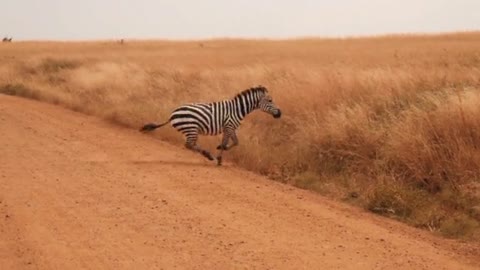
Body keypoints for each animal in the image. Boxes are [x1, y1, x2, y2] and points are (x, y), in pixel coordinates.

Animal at [140, 85, 282, 166]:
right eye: (270, 100)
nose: (280, 113)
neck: (237, 109)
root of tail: (171, 115)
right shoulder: (229, 126)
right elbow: (228, 143)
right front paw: (219, 158)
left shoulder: (230, 128)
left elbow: (235, 142)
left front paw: (220, 151)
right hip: (191, 128)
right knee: (189, 145)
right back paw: (208, 155)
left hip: (190, 130)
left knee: (190, 145)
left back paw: (208, 155)